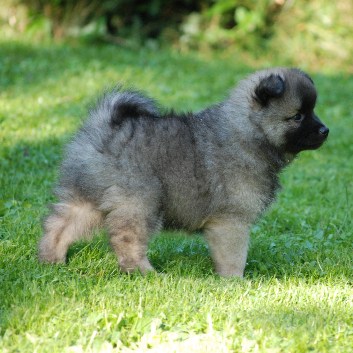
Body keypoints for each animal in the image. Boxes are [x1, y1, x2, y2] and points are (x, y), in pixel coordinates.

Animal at [38, 67, 328, 276]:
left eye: (313, 110)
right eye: (298, 116)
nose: (325, 130)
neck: (248, 131)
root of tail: (105, 128)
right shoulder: (231, 222)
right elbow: (234, 256)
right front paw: (235, 282)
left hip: (89, 197)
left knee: (60, 224)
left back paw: (52, 260)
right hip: (140, 201)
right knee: (127, 240)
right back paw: (147, 274)